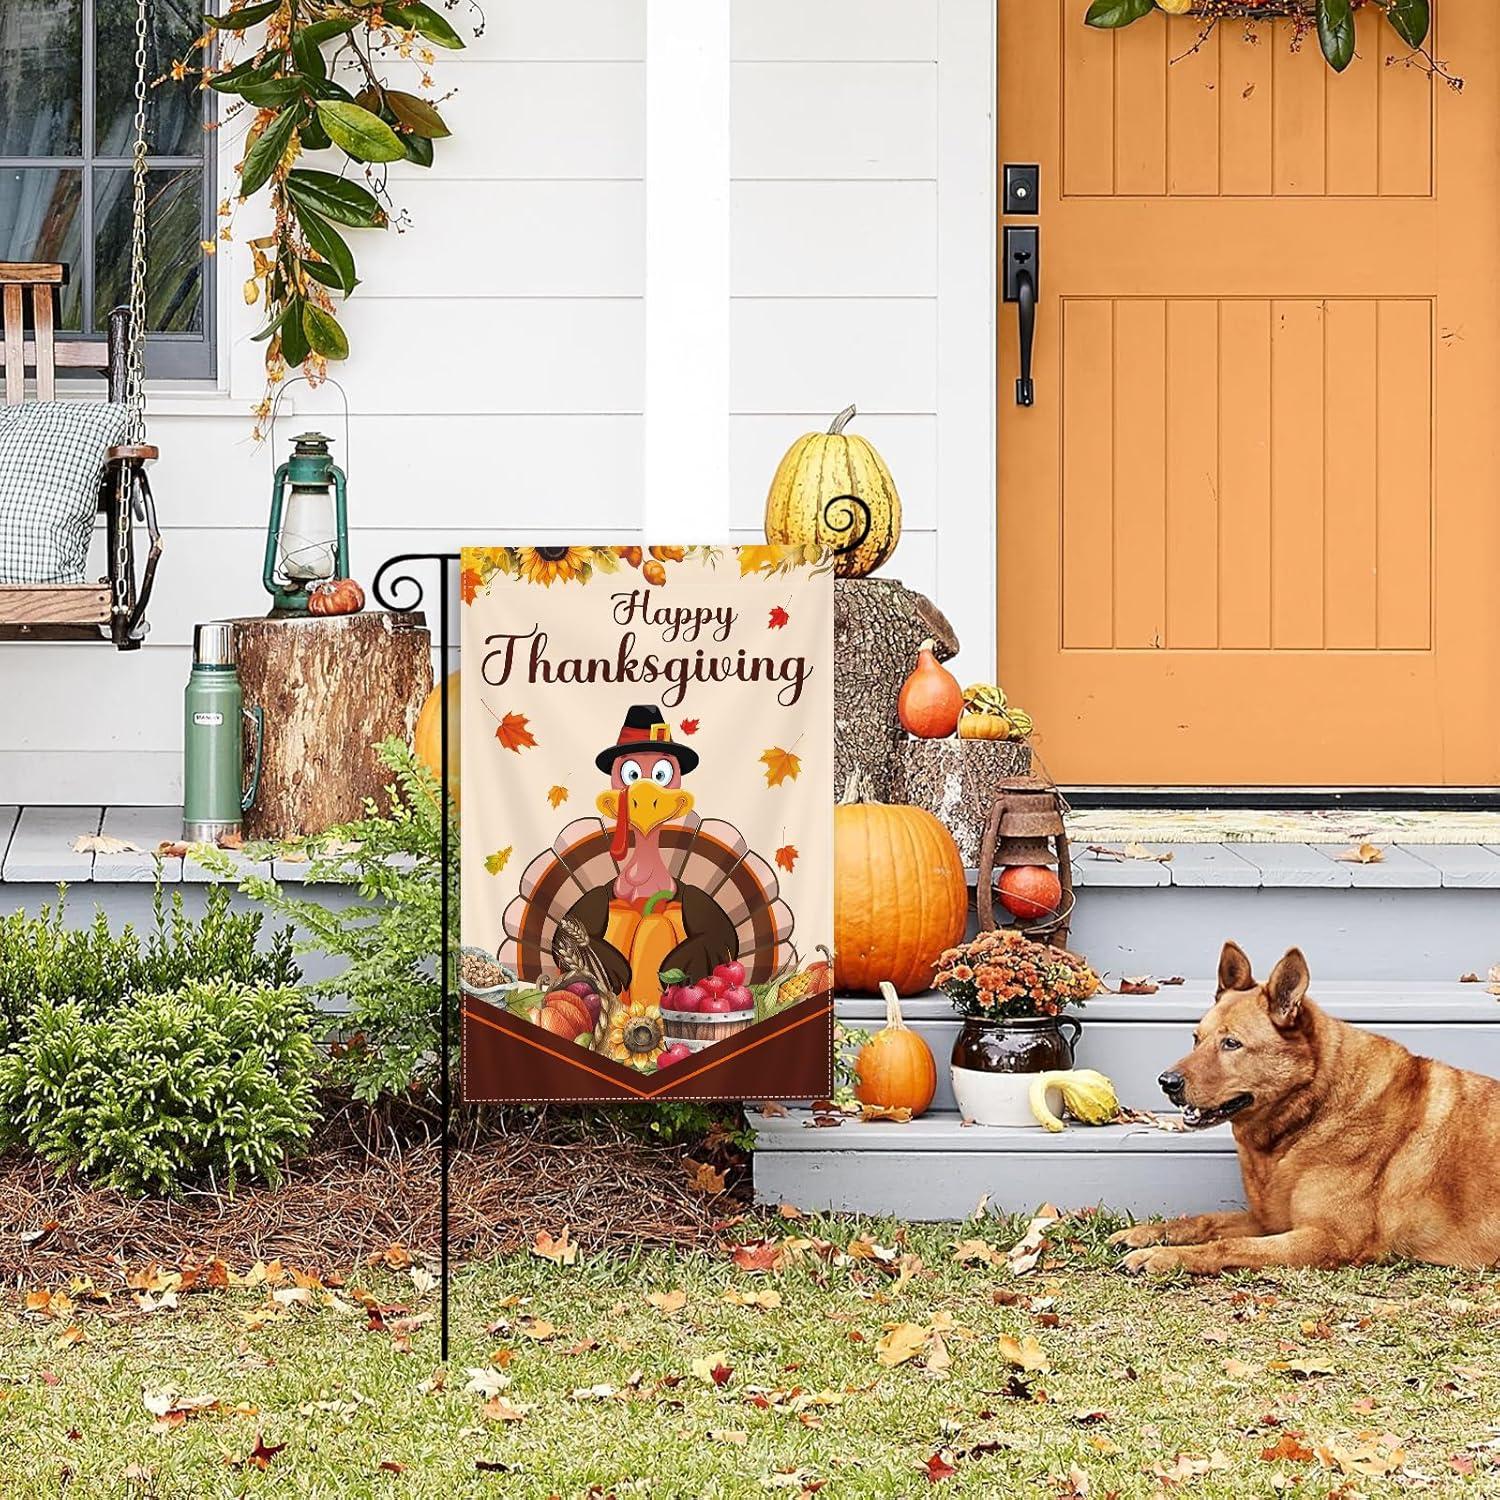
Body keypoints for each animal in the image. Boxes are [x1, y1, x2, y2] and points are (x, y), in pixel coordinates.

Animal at [1110, 936, 1500, 1278]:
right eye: (1196, 1039)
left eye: (1231, 1043)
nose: (1166, 1082)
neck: (1311, 1110)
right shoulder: (1270, 1220)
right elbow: (1202, 1220)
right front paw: (1144, 1234)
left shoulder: (1328, 1239)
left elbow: (1230, 1246)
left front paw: (1162, 1256)